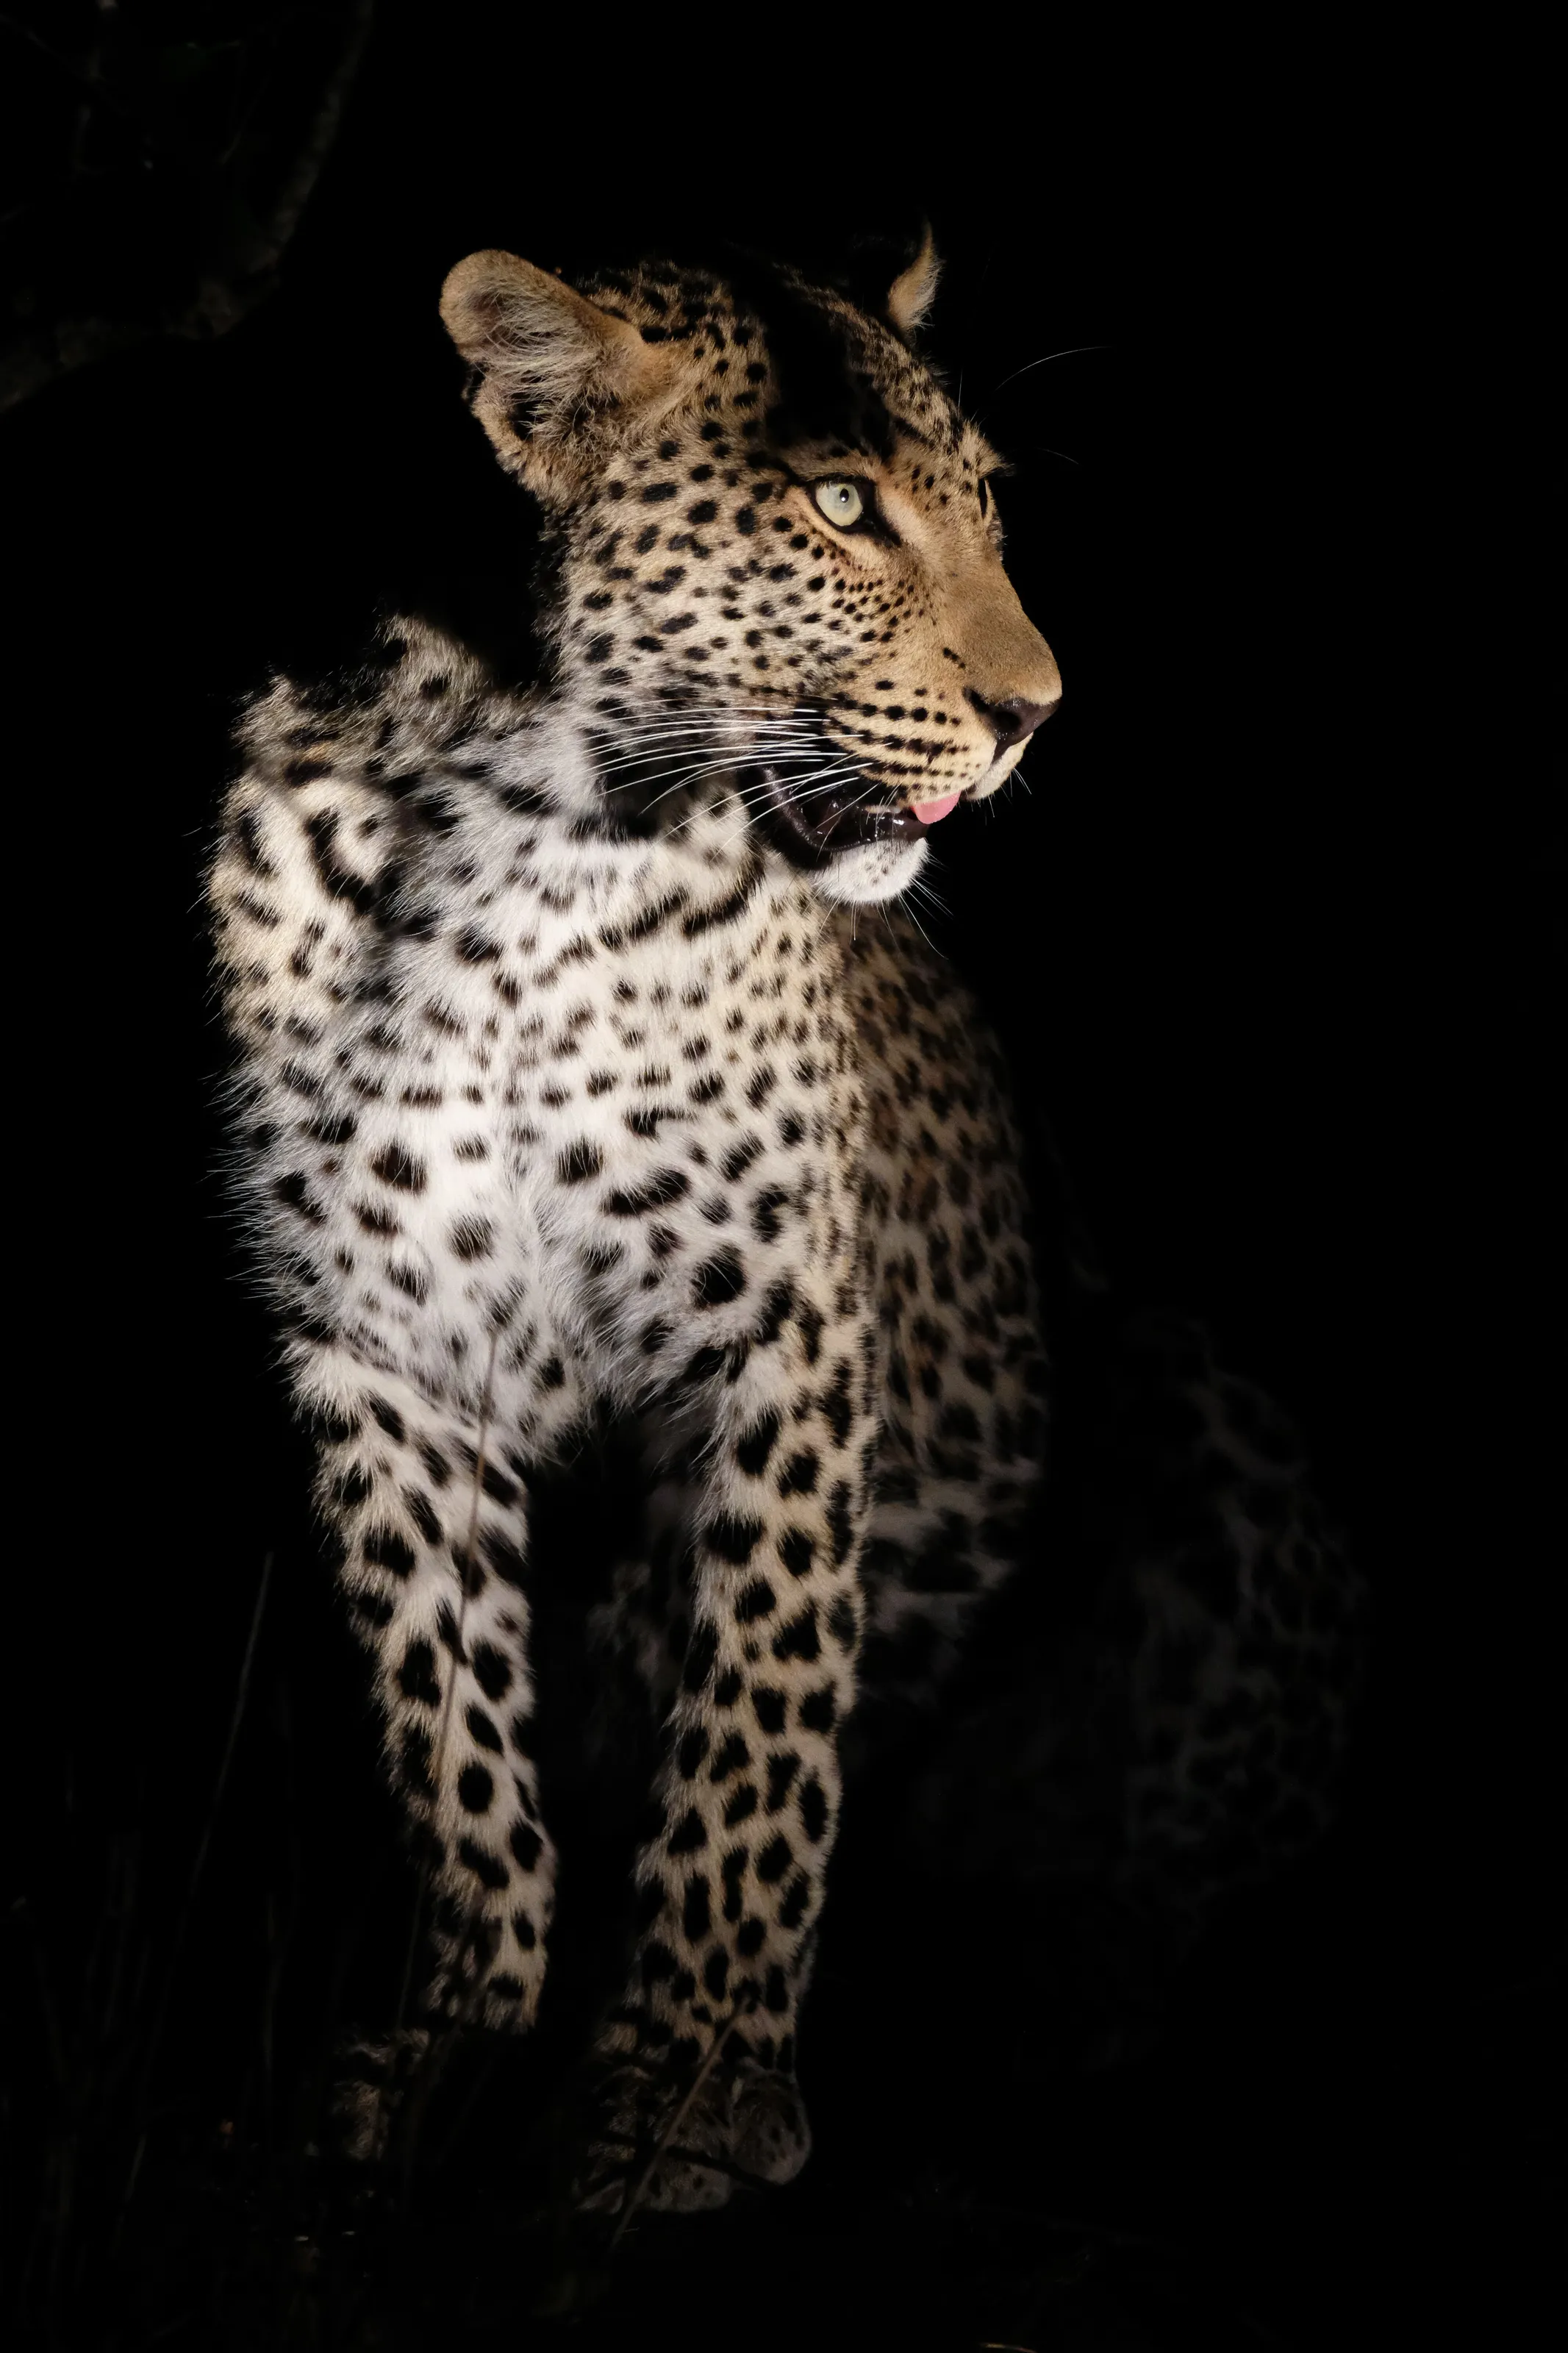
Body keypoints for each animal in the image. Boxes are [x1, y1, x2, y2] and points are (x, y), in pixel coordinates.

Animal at [207, 230, 1364, 2219]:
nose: (1035, 716)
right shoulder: (372, 1340)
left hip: (1187, 1397)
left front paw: (682, 2082)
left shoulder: (779, 1323)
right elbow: (449, 1735)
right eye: (839, 506)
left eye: (983, 505)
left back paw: (1022, 2015)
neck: (512, 835)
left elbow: (755, 1712)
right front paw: (460, 2045)